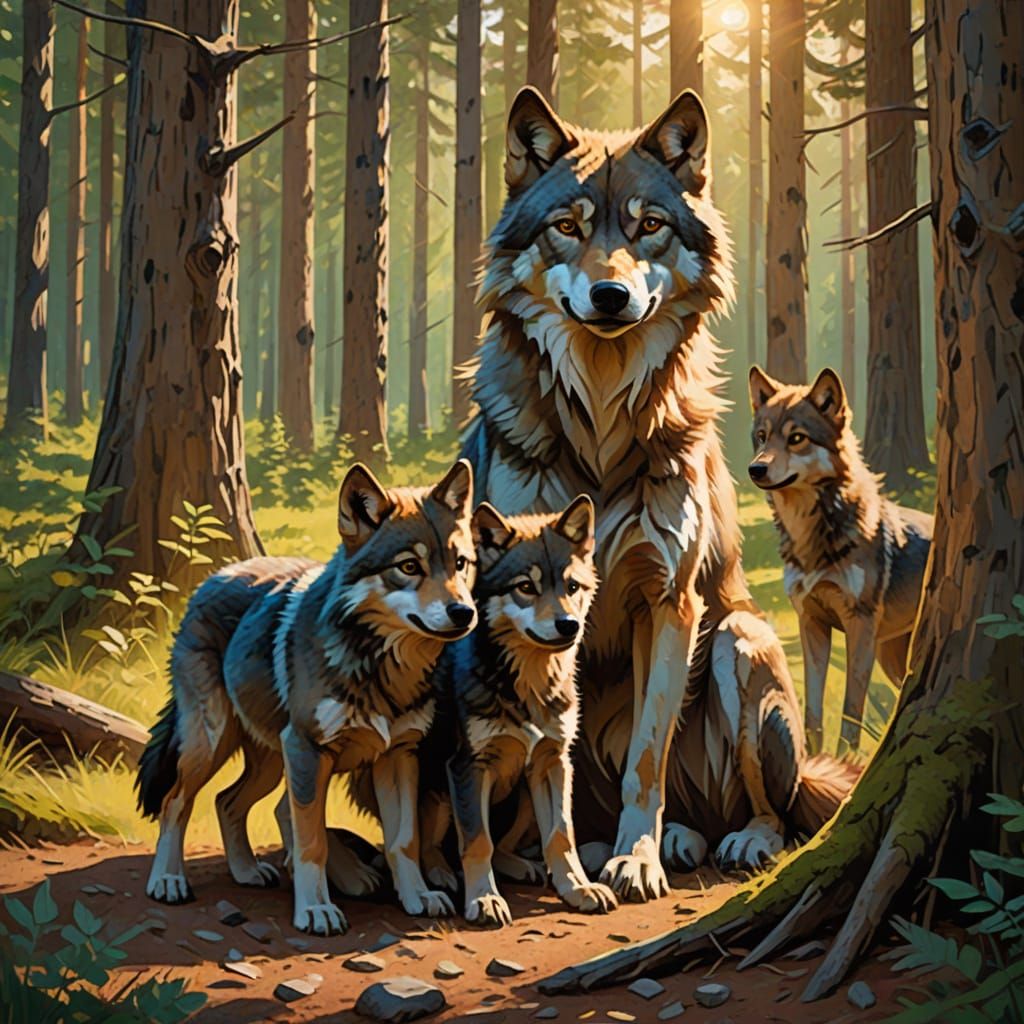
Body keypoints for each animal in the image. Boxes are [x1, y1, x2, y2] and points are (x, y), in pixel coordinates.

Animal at [136, 460, 478, 935]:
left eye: (460, 563)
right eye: (409, 566)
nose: (464, 613)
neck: (382, 670)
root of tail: (213, 576)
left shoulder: (398, 755)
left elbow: (403, 840)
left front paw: (418, 897)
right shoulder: (307, 749)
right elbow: (312, 841)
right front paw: (315, 910)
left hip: (272, 761)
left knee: (230, 801)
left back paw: (247, 871)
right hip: (214, 743)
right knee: (176, 802)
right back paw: (167, 880)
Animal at [413, 495, 618, 926]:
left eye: (572, 587)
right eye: (526, 587)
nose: (568, 625)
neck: (531, 688)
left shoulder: (553, 762)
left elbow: (561, 835)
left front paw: (578, 889)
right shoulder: (468, 767)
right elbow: (477, 842)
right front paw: (484, 899)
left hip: (523, 793)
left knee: (507, 844)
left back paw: (520, 866)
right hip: (440, 792)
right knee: (434, 846)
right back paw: (442, 873)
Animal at [460, 86, 858, 898]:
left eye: (648, 225)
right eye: (568, 227)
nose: (610, 294)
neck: (601, 429)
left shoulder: (669, 600)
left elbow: (648, 753)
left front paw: (634, 860)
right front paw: (563, 857)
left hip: (740, 641)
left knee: (769, 808)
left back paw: (716, 839)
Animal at [748, 366, 933, 753]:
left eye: (797, 438)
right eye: (762, 436)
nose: (755, 469)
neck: (812, 540)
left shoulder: (859, 627)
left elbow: (851, 714)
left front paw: (845, 762)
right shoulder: (811, 625)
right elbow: (813, 716)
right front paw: (814, 761)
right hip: (893, 660)